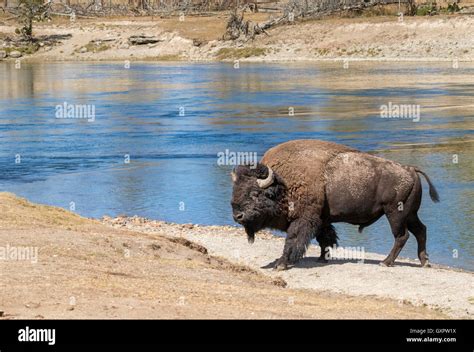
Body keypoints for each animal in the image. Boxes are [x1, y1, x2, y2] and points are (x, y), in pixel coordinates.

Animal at [231, 139, 438, 270]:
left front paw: (281, 264)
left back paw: (386, 262)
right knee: (421, 231)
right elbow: (325, 238)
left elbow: (293, 240)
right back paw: (424, 262)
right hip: (410, 214)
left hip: (395, 214)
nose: (237, 216)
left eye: (255, 193)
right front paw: (322, 258)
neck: (283, 183)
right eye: (235, 190)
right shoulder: (322, 219)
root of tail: (410, 169)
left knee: (402, 236)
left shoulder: (303, 219)